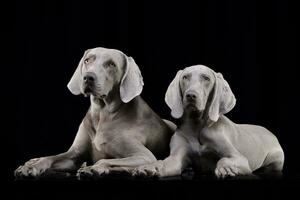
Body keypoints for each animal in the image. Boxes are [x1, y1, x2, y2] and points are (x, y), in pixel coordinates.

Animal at [14, 47, 176, 179]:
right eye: (87, 60)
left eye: (111, 64)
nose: (88, 77)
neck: (101, 114)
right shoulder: (74, 154)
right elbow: (51, 158)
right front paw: (31, 167)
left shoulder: (144, 155)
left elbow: (105, 159)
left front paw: (93, 168)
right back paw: (32, 161)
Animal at [135, 64, 284, 178]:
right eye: (185, 77)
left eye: (206, 78)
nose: (190, 95)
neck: (196, 126)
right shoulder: (176, 158)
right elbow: (164, 162)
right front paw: (150, 167)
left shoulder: (240, 159)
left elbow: (225, 159)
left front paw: (226, 169)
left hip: (276, 158)